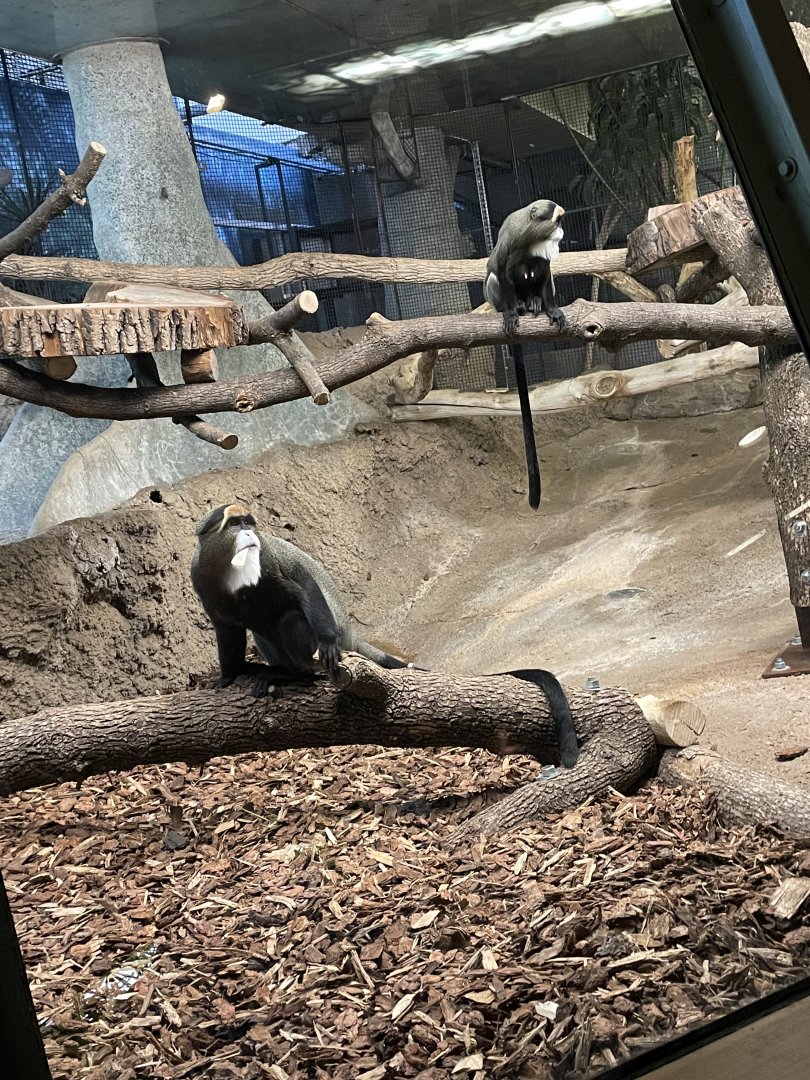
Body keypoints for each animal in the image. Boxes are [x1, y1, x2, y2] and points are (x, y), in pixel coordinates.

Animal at [190, 503, 409, 698]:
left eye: (248, 523)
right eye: (234, 524)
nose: (249, 534)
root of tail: (350, 637)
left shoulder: (267, 561)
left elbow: (305, 586)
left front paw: (328, 642)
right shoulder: (202, 581)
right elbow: (226, 630)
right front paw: (228, 676)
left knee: (291, 619)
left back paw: (299, 673)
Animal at [483, 199, 566, 510]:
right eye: (557, 220)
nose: (562, 232)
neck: (532, 242)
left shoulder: (543, 262)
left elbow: (545, 276)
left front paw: (551, 309)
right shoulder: (509, 246)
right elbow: (502, 274)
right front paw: (510, 313)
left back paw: (533, 302)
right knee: (494, 279)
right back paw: (520, 306)